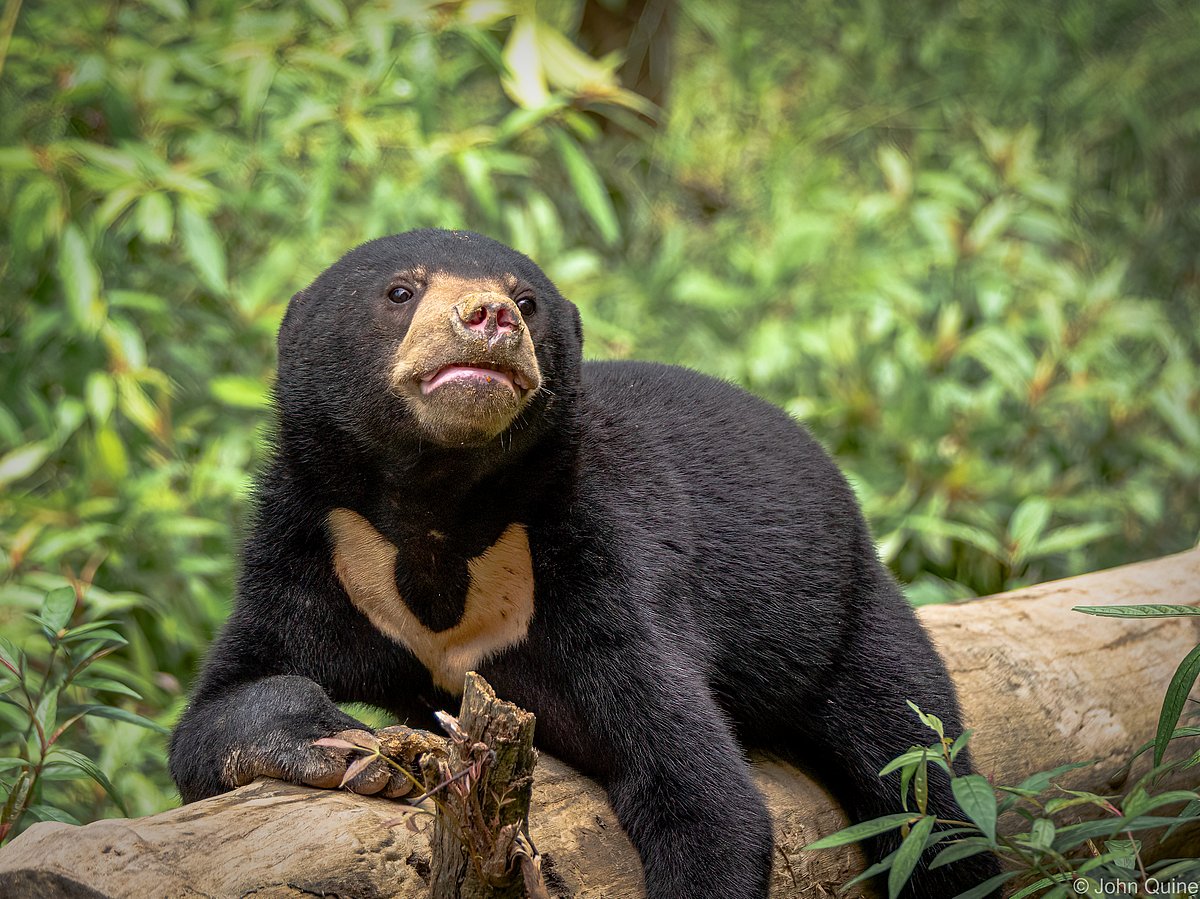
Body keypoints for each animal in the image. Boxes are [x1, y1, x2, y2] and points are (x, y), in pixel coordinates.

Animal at [170, 228, 1000, 898]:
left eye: (527, 298)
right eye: (401, 290)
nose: (490, 317)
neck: (438, 509)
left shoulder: (594, 567)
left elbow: (700, 790)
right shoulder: (319, 553)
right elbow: (222, 704)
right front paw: (352, 747)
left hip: (848, 620)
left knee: (925, 787)